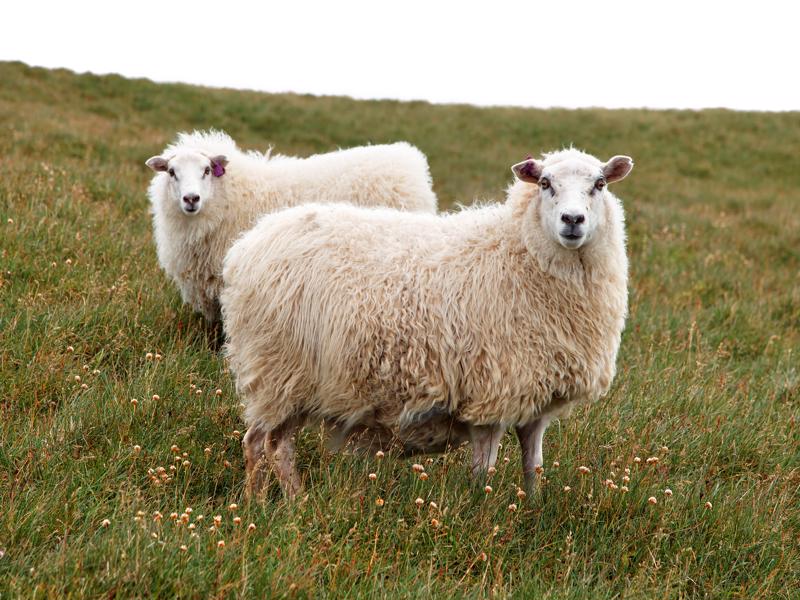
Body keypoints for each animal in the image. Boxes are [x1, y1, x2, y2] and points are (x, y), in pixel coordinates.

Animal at [222, 146, 636, 496]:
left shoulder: (533, 398)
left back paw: (290, 501)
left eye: (599, 184)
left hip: (295, 381)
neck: (518, 252)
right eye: (546, 183)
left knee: (275, 443)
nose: (572, 220)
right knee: (261, 443)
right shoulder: (490, 394)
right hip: (277, 369)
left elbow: (533, 467)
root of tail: (247, 245)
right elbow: (482, 472)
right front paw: (480, 513)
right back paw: (263, 504)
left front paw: (532, 511)